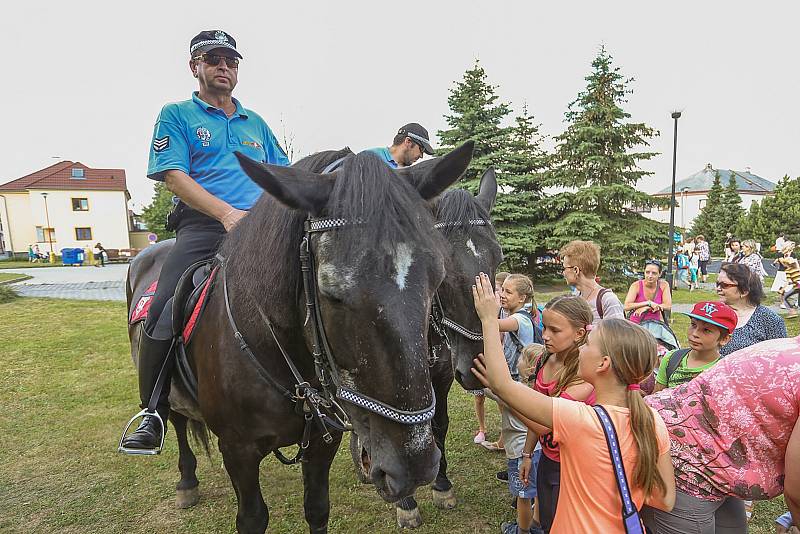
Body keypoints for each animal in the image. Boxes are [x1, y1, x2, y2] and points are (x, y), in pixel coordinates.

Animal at [125, 144, 476, 532]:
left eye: (436, 279)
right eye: (332, 293)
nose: (415, 465)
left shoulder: (324, 443)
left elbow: (317, 508)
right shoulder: (237, 450)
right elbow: (252, 518)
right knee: (176, 420)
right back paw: (184, 478)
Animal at [348, 170, 504, 528]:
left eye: (498, 256)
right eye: (442, 263)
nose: (476, 366)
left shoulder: (442, 376)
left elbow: (439, 425)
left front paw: (442, 486)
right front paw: (405, 502)